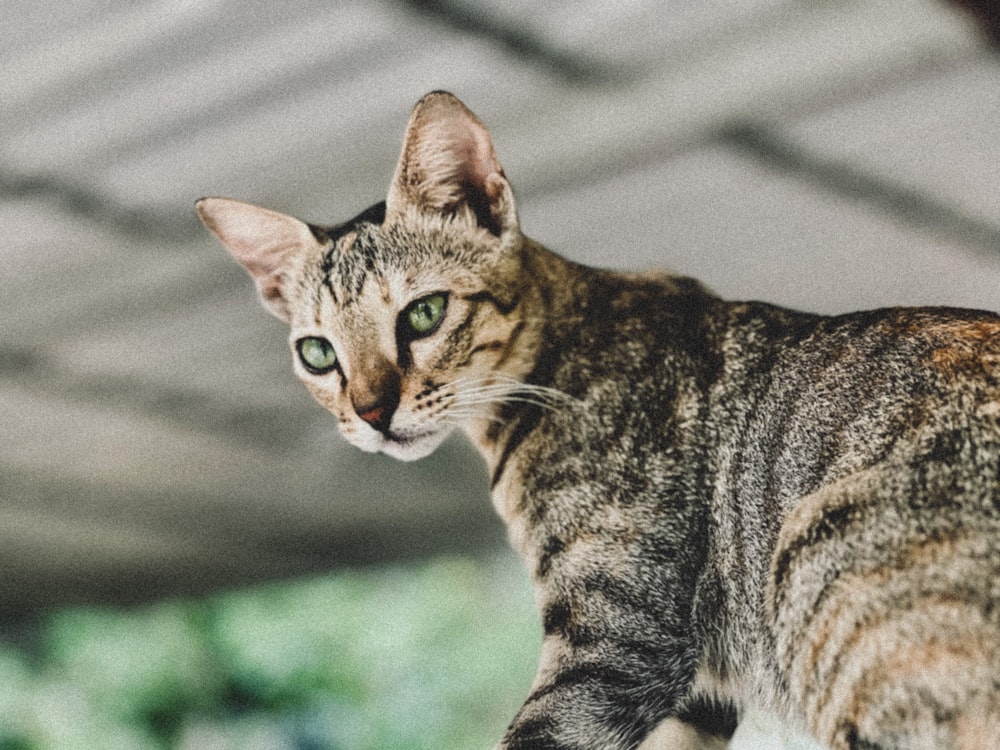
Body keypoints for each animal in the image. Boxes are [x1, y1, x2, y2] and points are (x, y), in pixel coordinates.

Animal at [195, 91, 1000, 748]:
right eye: (318, 352)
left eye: (423, 314)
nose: (370, 411)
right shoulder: (695, 696)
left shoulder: (618, 636)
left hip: (823, 560)